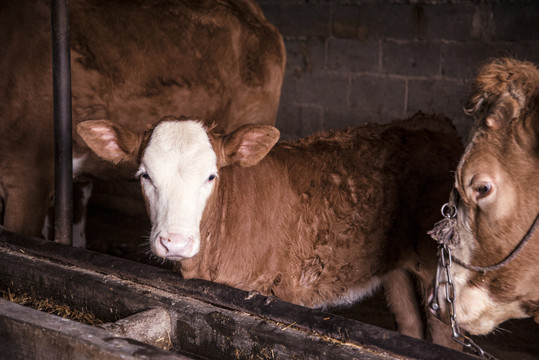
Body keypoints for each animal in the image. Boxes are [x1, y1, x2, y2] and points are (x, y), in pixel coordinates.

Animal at [78, 112, 466, 346]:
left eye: (211, 176)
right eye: (145, 175)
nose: (175, 242)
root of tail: (428, 121)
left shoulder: (285, 295)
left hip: (437, 272)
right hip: (395, 266)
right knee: (410, 325)